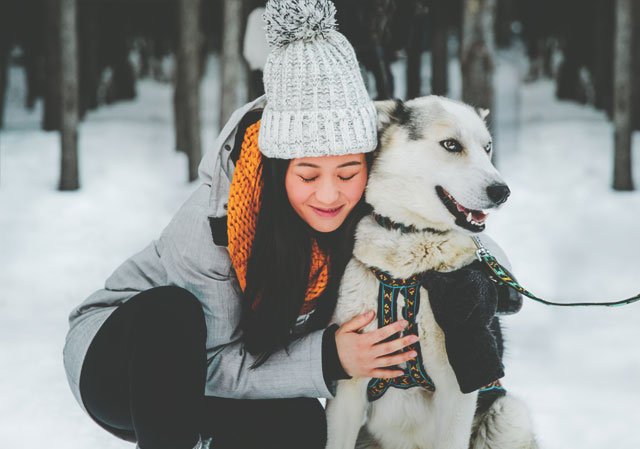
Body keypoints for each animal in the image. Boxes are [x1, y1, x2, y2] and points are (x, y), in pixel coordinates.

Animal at [322, 96, 536, 448]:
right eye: (451, 144)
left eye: (487, 148)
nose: (502, 191)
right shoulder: (349, 387)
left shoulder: (458, 383)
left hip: (509, 415)